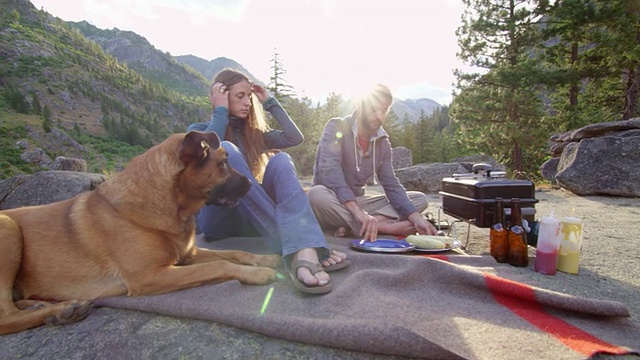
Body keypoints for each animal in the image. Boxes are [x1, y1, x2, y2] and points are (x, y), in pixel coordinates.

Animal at [0, 130, 280, 334]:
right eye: (223, 163)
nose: (251, 184)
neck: (170, 204)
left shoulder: (187, 254)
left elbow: (235, 251)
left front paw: (264, 259)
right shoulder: (150, 276)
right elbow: (218, 265)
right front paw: (256, 273)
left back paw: (49, 307)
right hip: (8, 229)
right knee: (6, 317)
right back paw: (61, 310)